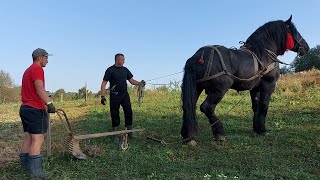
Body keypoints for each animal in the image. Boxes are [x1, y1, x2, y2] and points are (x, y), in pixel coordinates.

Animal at [182, 16, 310, 144]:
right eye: (294, 30)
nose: (307, 47)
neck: (264, 53)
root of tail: (198, 56)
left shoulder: (255, 88)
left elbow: (256, 107)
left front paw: (256, 128)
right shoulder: (269, 84)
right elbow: (264, 106)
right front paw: (262, 130)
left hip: (196, 88)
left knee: (188, 108)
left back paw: (187, 137)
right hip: (220, 89)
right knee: (207, 107)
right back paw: (219, 133)